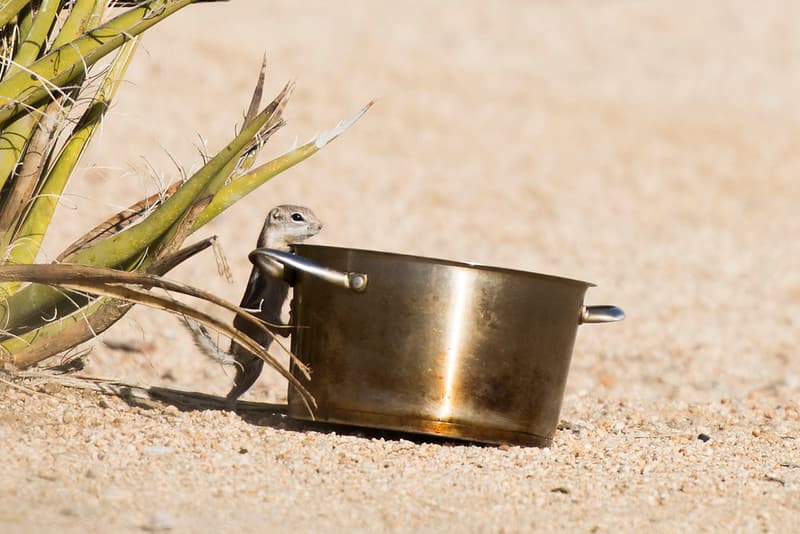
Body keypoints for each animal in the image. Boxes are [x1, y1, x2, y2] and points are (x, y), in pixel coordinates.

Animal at [185, 204, 322, 408]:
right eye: (297, 217)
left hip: (256, 366)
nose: (320, 226)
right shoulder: (269, 252)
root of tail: (234, 355)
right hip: (267, 320)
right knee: (283, 332)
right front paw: (290, 251)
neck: (278, 238)